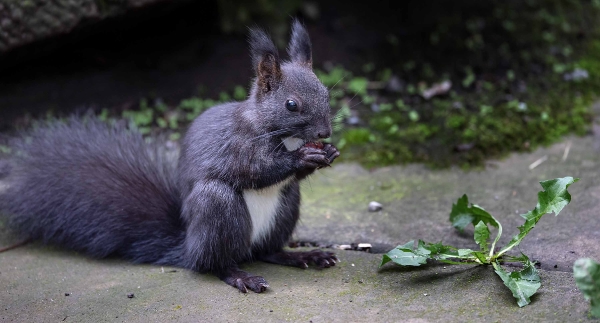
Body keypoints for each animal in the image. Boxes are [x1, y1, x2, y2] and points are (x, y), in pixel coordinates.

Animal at [0, 19, 338, 294]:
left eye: (326, 93)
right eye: (291, 105)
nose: (325, 133)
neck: (283, 134)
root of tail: (189, 246)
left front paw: (329, 153)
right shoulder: (237, 146)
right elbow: (255, 170)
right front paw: (301, 158)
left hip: (287, 204)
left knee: (267, 251)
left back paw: (301, 255)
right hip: (216, 207)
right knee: (214, 264)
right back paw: (240, 275)